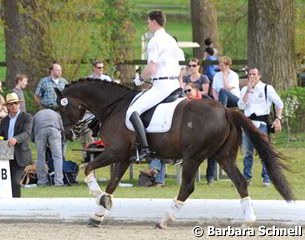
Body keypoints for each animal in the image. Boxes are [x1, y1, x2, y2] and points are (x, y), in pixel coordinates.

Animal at [55, 79, 292, 229]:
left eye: (61, 108)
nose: (68, 133)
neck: (113, 107)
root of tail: (226, 110)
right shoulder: (123, 157)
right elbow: (112, 184)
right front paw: (99, 213)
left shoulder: (114, 152)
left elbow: (88, 169)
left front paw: (98, 197)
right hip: (223, 156)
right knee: (240, 182)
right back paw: (248, 220)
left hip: (193, 157)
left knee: (187, 187)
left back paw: (164, 220)